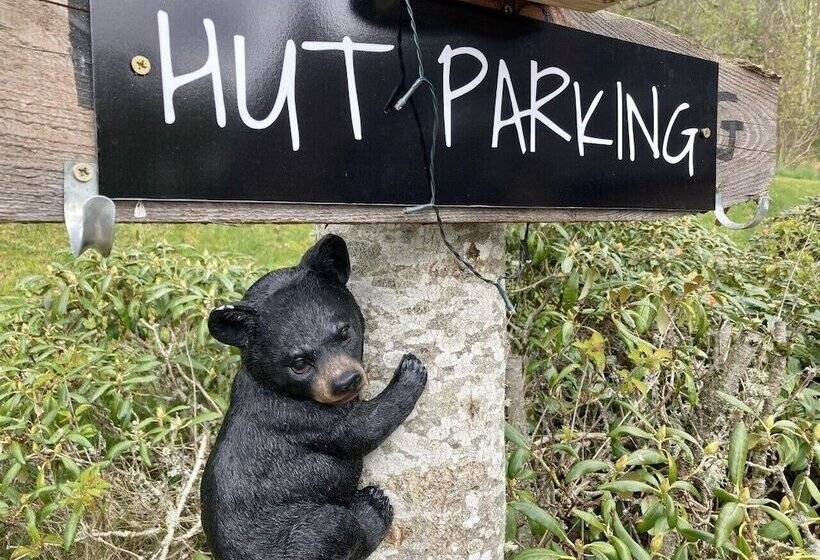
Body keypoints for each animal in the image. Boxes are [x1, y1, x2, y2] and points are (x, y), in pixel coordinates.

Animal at [200, 234, 428, 560]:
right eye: (299, 363)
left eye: (344, 332)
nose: (346, 381)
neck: (276, 385)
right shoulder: (297, 417)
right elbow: (360, 428)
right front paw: (410, 372)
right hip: (307, 531)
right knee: (337, 527)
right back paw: (372, 507)